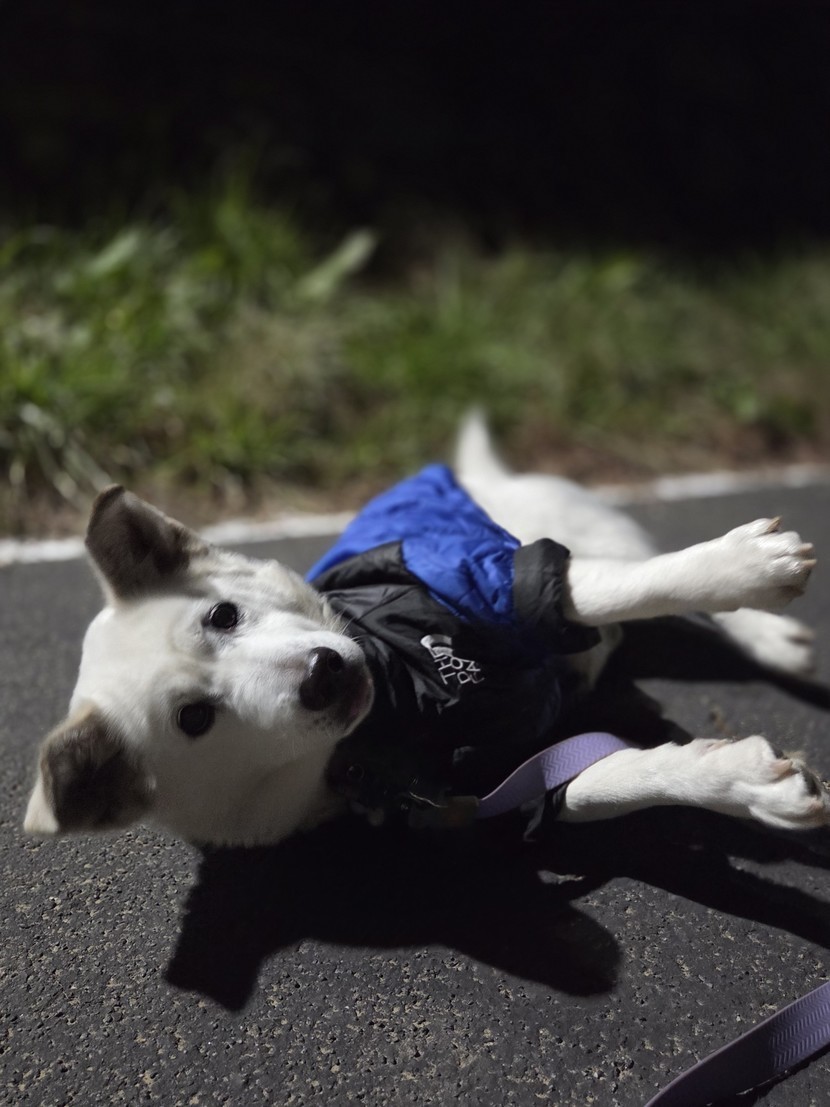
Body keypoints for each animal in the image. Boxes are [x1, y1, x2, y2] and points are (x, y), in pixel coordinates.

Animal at [23, 414, 828, 848]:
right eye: (194, 719)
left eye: (223, 615)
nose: (323, 674)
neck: (399, 698)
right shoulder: (479, 786)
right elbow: (610, 782)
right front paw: (740, 783)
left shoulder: (494, 582)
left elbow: (647, 585)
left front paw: (744, 568)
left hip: (572, 541)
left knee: (651, 586)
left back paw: (763, 622)